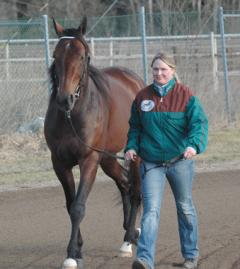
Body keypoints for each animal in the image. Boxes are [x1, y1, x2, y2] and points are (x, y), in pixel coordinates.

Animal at [43, 17, 144, 268]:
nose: (65, 99)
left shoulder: (89, 160)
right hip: (107, 158)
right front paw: (77, 249)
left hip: (132, 155)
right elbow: (70, 205)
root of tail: (135, 80)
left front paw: (71, 254)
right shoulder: (60, 163)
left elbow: (79, 207)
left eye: (82, 56)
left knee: (135, 190)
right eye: (56, 55)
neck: (72, 115)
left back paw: (129, 238)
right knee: (124, 184)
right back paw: (129, 233)